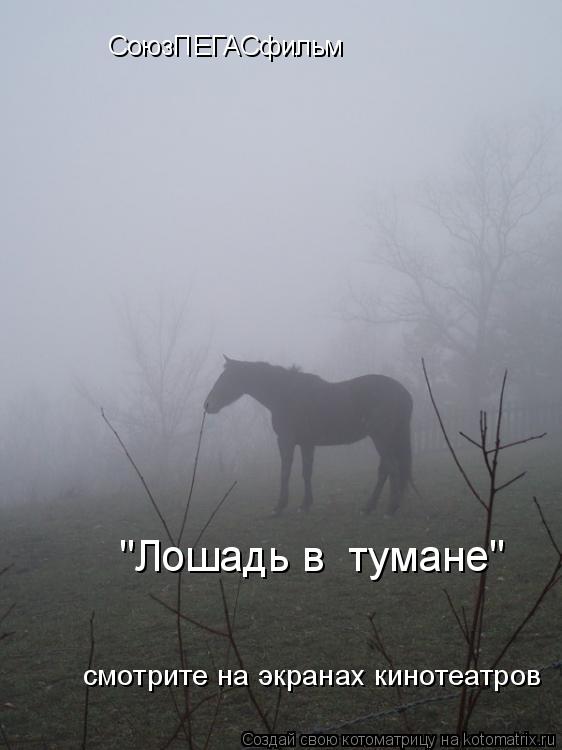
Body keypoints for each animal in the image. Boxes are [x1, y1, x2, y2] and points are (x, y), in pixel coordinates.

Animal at [204, 357, 414, 515]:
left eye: (226, 378)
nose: (207, 404)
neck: (285, 394)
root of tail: (403, 393)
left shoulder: (286, 441)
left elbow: (285, 472)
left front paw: (279, 506)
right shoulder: (307, 443)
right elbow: (306, 472)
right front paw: (305, 504)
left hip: (381, 438)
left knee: (391, 468)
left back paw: (390, 508)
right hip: (388, 439)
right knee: (385, 470)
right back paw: (369, 507)